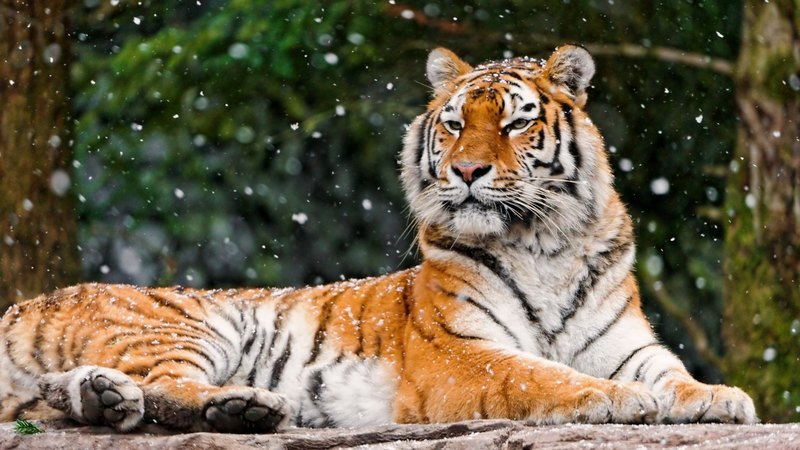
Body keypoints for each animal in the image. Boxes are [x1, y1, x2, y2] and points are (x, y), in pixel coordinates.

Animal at [0, 45, 757, 434]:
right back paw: (241, 405)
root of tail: (26, 302)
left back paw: (113, 400)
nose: (468, 171)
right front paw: (613, 399)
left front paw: (720, 396)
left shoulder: (626, 343)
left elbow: (671, 372)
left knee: (89, 392)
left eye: (515, 123)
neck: (546, 243)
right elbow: (538, 373)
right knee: (163, 388)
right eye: (454, 123)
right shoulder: (459, 352)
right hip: (184, 325)